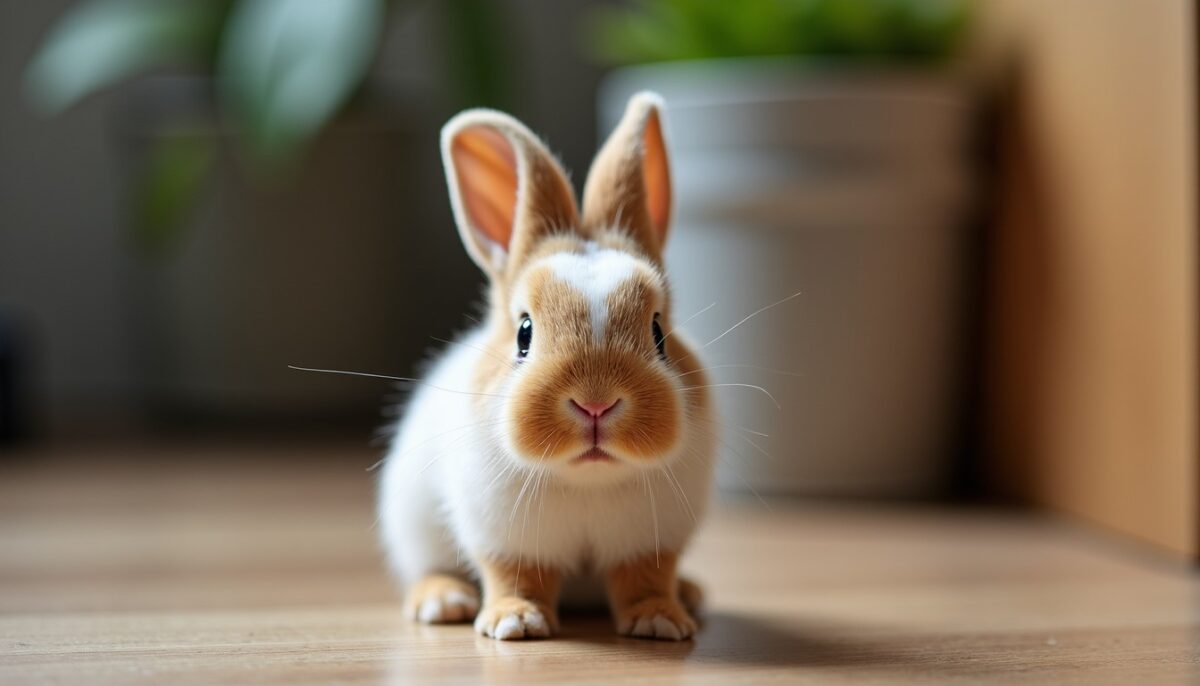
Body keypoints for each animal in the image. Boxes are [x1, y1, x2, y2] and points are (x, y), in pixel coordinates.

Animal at [377, 91, 715, 641]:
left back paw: (691, 595)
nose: (596, 403)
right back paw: (444, 602)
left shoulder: (651, 542)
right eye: (524, 333)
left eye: (659, 334)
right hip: (414, 524)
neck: (586, 480)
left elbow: (645, 577)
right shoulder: (503, 538)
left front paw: (660, 621)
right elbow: (516, 575)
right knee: (428, 569)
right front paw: (515, 622)